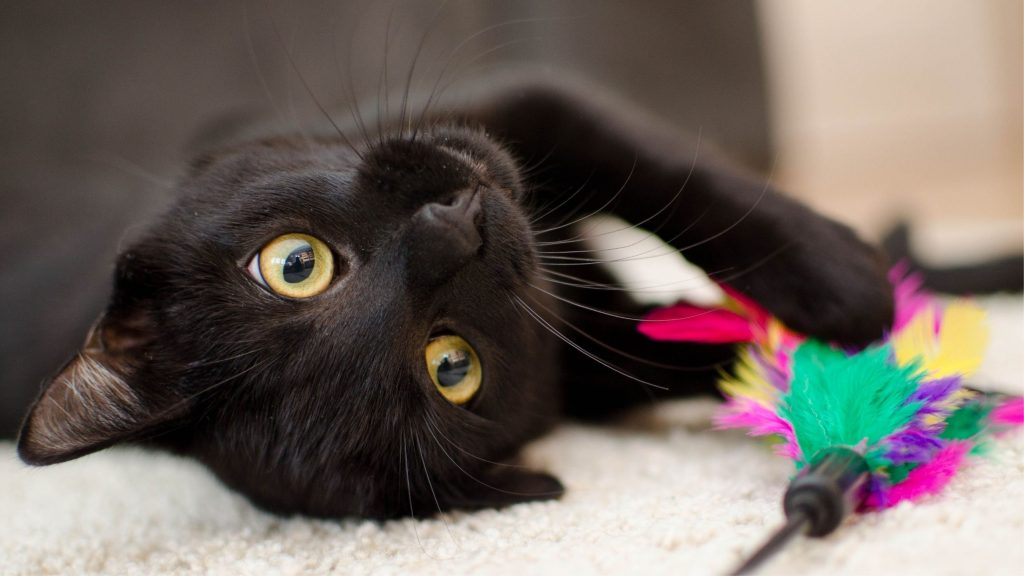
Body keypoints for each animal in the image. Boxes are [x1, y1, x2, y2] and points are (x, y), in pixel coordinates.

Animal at [14, 75, 888, 516]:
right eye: (451, 367)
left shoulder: (526, 103)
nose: (457, 231)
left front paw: (848, 285)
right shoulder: (596, 367)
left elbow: (670, 175)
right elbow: (693, 346)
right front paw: (862, 365)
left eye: (295, 264)